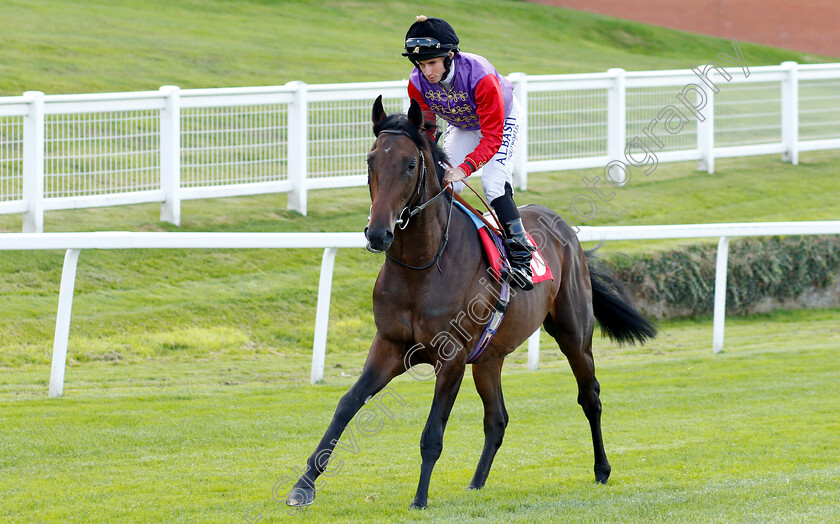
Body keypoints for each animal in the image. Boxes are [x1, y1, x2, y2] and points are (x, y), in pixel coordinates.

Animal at [288, 96, 656, 510]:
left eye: (410, 164)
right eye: (370, 161)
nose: (378, 233)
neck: (424, 265)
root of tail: (562, 225)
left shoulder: (451, 358)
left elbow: (432, 433)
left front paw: (419, 499)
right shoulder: (390, 345)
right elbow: (347, 405)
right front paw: (304, 484)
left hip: (573, 333)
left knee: (589, 397)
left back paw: (601, 469)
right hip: (489, 359)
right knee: (497, 419)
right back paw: (477, 484)